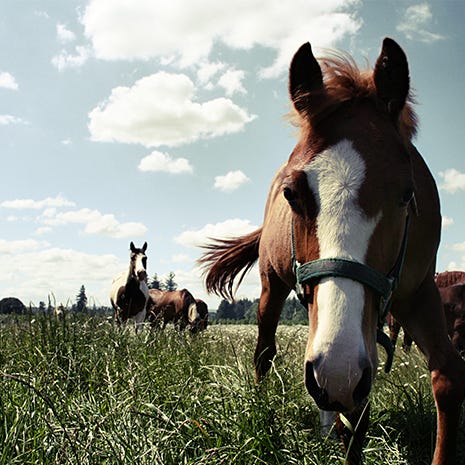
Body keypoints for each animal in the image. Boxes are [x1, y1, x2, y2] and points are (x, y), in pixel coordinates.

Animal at [200, 37, 464, 464]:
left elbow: (447, 376)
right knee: (265, 351)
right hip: (275, 286)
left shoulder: (418, 291)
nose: (337, 371)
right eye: (292, 194)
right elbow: (352, 414)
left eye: (407, 194)